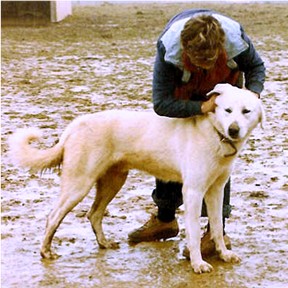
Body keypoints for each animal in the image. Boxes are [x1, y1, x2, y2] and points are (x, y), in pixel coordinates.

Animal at [7, 84, 264, 274]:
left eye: (246, 112)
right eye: (227, 111)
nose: (233, 130)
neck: (214, 132)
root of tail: (75, 125)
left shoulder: (215, 191)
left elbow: (217, 226)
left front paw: (223, 254)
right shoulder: (193, 192)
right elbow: (192, 232)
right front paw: (198, 263)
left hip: (113, 182)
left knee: (94, 214)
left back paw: (104, 243)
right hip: (79, 184)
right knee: (53, 217)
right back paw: (46, 251)